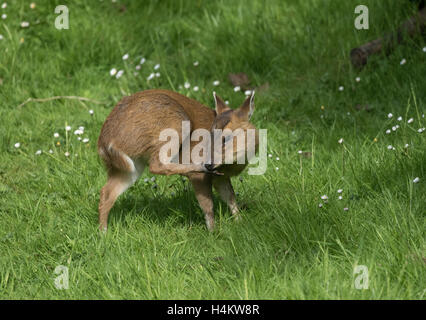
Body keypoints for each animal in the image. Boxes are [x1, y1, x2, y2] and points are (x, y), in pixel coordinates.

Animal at [98, 89, 258, 231]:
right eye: (211, 135)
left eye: (227, 137)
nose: (208, 163)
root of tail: (105, 142)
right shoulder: (202, 176)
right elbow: (208, 204)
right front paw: (213, 232)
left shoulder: (222, 178)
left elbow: (230, 197)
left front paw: (240, 223)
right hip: (174, 124)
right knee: (157, 165)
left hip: (132, 165)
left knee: (107, 191)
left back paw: (103, 233)